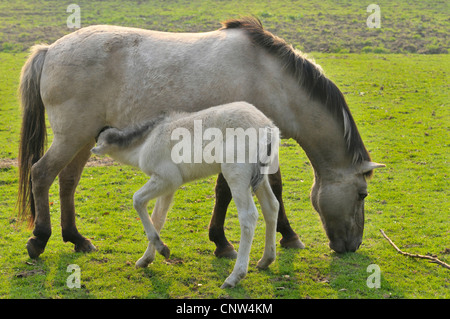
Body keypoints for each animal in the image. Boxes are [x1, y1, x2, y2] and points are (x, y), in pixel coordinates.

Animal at [18, 16, 384, 260]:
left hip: (83, 140)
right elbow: (235, 191)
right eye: (362, 194)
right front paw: (232, 241)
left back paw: (76, 239)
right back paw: (39, 239)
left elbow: (259, 189)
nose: (352, 245)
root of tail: (51, 49)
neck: (273, 80)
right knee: (42, 174)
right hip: (71, 136)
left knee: (67, 182)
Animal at [91, 101, 280, 288]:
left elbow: (137, 200)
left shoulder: (167, 178)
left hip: (236, 174)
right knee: (271, 207)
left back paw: (234, 276)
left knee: (248, 216)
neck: (146, 141)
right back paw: (266, 260)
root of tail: (268, 128)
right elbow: (158, 218)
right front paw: (149, 257)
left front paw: (160, 249)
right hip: (259, 177)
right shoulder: (168, 186)